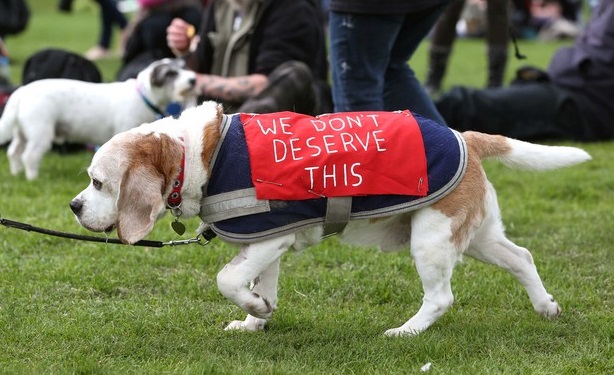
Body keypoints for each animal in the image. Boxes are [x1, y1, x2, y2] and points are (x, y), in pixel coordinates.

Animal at [0, 58, 197, 181]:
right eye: (170, 73)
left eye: (182, 66)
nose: (193, 80)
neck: (143, 96)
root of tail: (21, 91)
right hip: (40, 133)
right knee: (29, 155)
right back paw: (32, 177)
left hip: (22, 133)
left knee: (13, 152)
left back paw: (16, 173)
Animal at [71, 101, 592, 336]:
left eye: (98, 183)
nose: (74, 206)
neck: (197, 154)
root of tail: (465, 135)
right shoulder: (267, 244)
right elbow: (260, 285)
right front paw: (257, 319)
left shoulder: (264, 241)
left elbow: (228, 280)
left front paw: (255, 309)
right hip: (478, 236)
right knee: (523, 257)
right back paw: (546, 307)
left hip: (431, 240)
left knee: (442, 297)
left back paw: (406, 332)